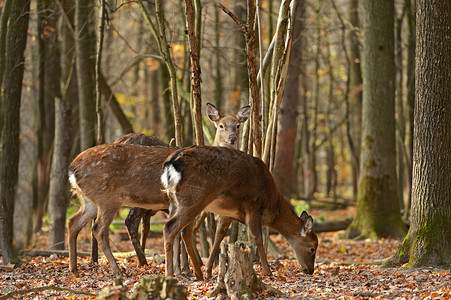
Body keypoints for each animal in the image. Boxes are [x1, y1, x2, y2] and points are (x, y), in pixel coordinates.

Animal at [67, 104, 251, 278]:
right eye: (221, 125)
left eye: (238, 125)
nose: (232, 138)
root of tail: (72, 168)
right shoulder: (187, 200)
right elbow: (183, 233)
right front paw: (189, 271)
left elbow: (176, 234)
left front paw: (178, 270)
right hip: (108, 198)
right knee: (100, 228)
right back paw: (120, 269)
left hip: (89, 200)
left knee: (73, 222)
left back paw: (75, 269)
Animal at [161, 146, 320, 280]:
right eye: (312, 248)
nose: (310, 270)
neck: (271, 204)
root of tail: (170, 163)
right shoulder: (254, 207)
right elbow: (257, 238)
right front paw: (268, 271)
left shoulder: (227, 213)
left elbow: (218, 236)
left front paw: (209, 271)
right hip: (193, 198)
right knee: (169, 227)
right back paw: (169, 274)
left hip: (175, 201)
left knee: (185, 232)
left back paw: (198, 273)